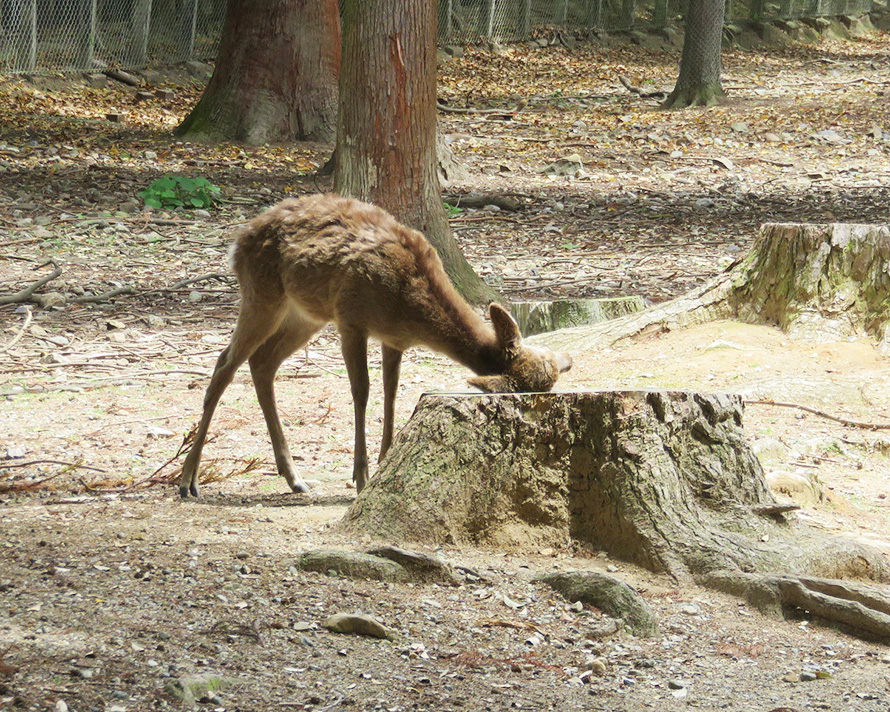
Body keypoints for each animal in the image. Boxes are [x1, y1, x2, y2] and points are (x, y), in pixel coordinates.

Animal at [178, 193, 572, 498]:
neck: (410, 305)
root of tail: (237, 241)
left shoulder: (393, 338)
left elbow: (391, 392)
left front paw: (384, 461)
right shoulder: (351, 319)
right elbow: (362, 390)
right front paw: (362, 476)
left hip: (305, 314)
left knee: (262, 363)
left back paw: (294, 478)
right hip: (262, 296)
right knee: (225, 364)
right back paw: (188, 481)